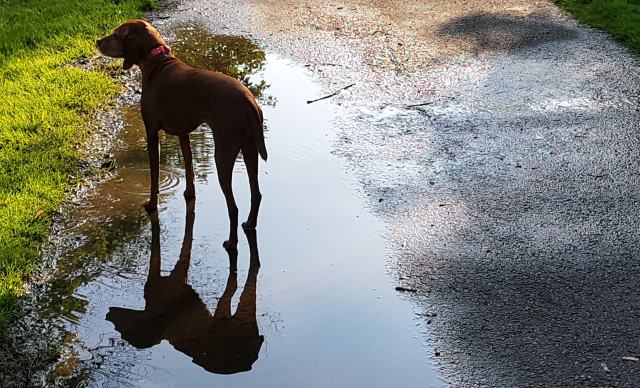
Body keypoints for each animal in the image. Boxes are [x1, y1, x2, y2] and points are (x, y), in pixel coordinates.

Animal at [96, 19, 266, 250]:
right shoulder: (184, 134)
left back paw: (231, 242)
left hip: (223, 154)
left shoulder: (151, 132)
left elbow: (154, 176)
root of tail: (248, 101)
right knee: (256, 194)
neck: (157, 60)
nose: (97, 41)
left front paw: (151, 204)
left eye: (115, 34)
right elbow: (189, 167)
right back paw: (250, 224)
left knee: (233, 206)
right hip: (250, 149)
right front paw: (189, 194)